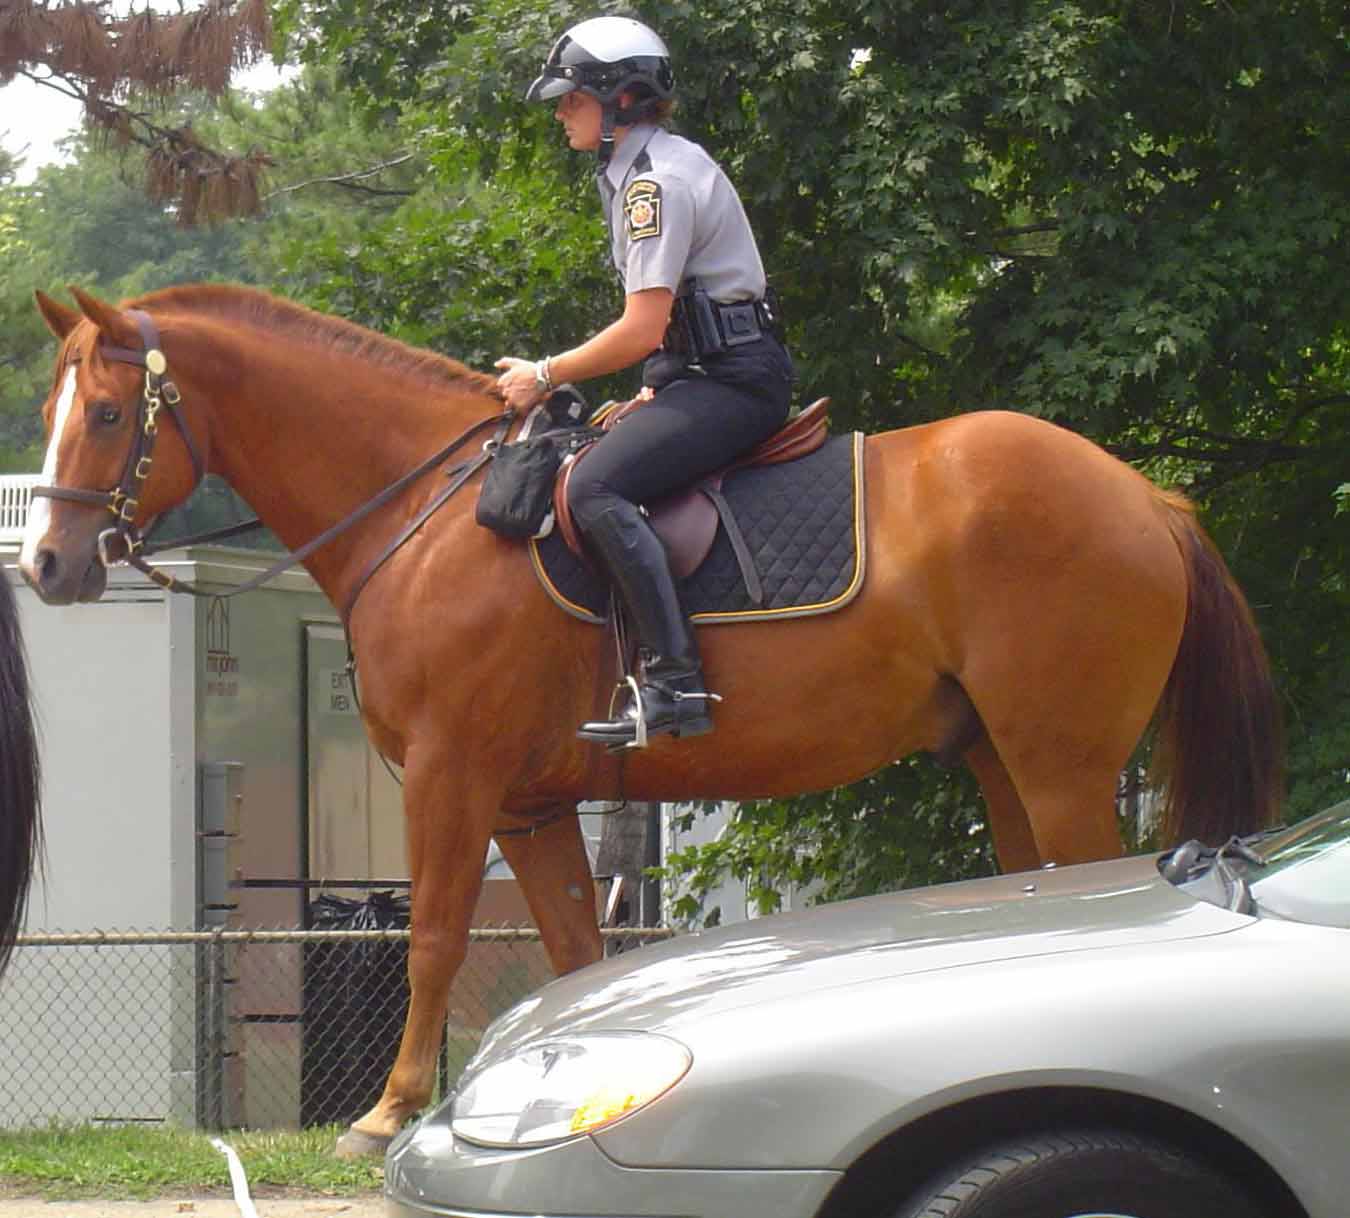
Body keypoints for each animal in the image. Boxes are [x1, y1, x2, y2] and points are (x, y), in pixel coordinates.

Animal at [26, 283, 1279, 1155]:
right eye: (51, 409)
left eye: (105, 412)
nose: (47, 564)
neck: (430, 515)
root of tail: (1146, 494)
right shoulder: (531, 809)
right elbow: (577, 958)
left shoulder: (450, 776)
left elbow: (433, 938)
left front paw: (384, 1117)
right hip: (1003, 764)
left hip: (1061, 765)